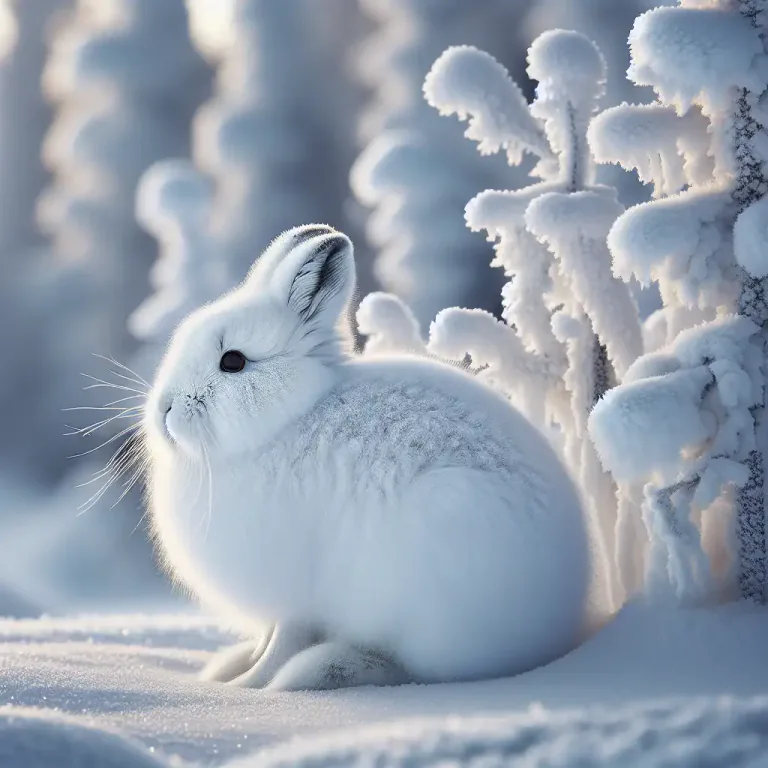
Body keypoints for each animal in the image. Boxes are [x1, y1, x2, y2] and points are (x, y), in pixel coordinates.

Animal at [145, 224, 592, 691]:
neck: (285, 421)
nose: (164, 411)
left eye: (232, 361)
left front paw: (249, 686)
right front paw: (230, 674)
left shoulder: (295, 597)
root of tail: (558, 624)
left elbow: (281, 644)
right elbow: (267, 641)